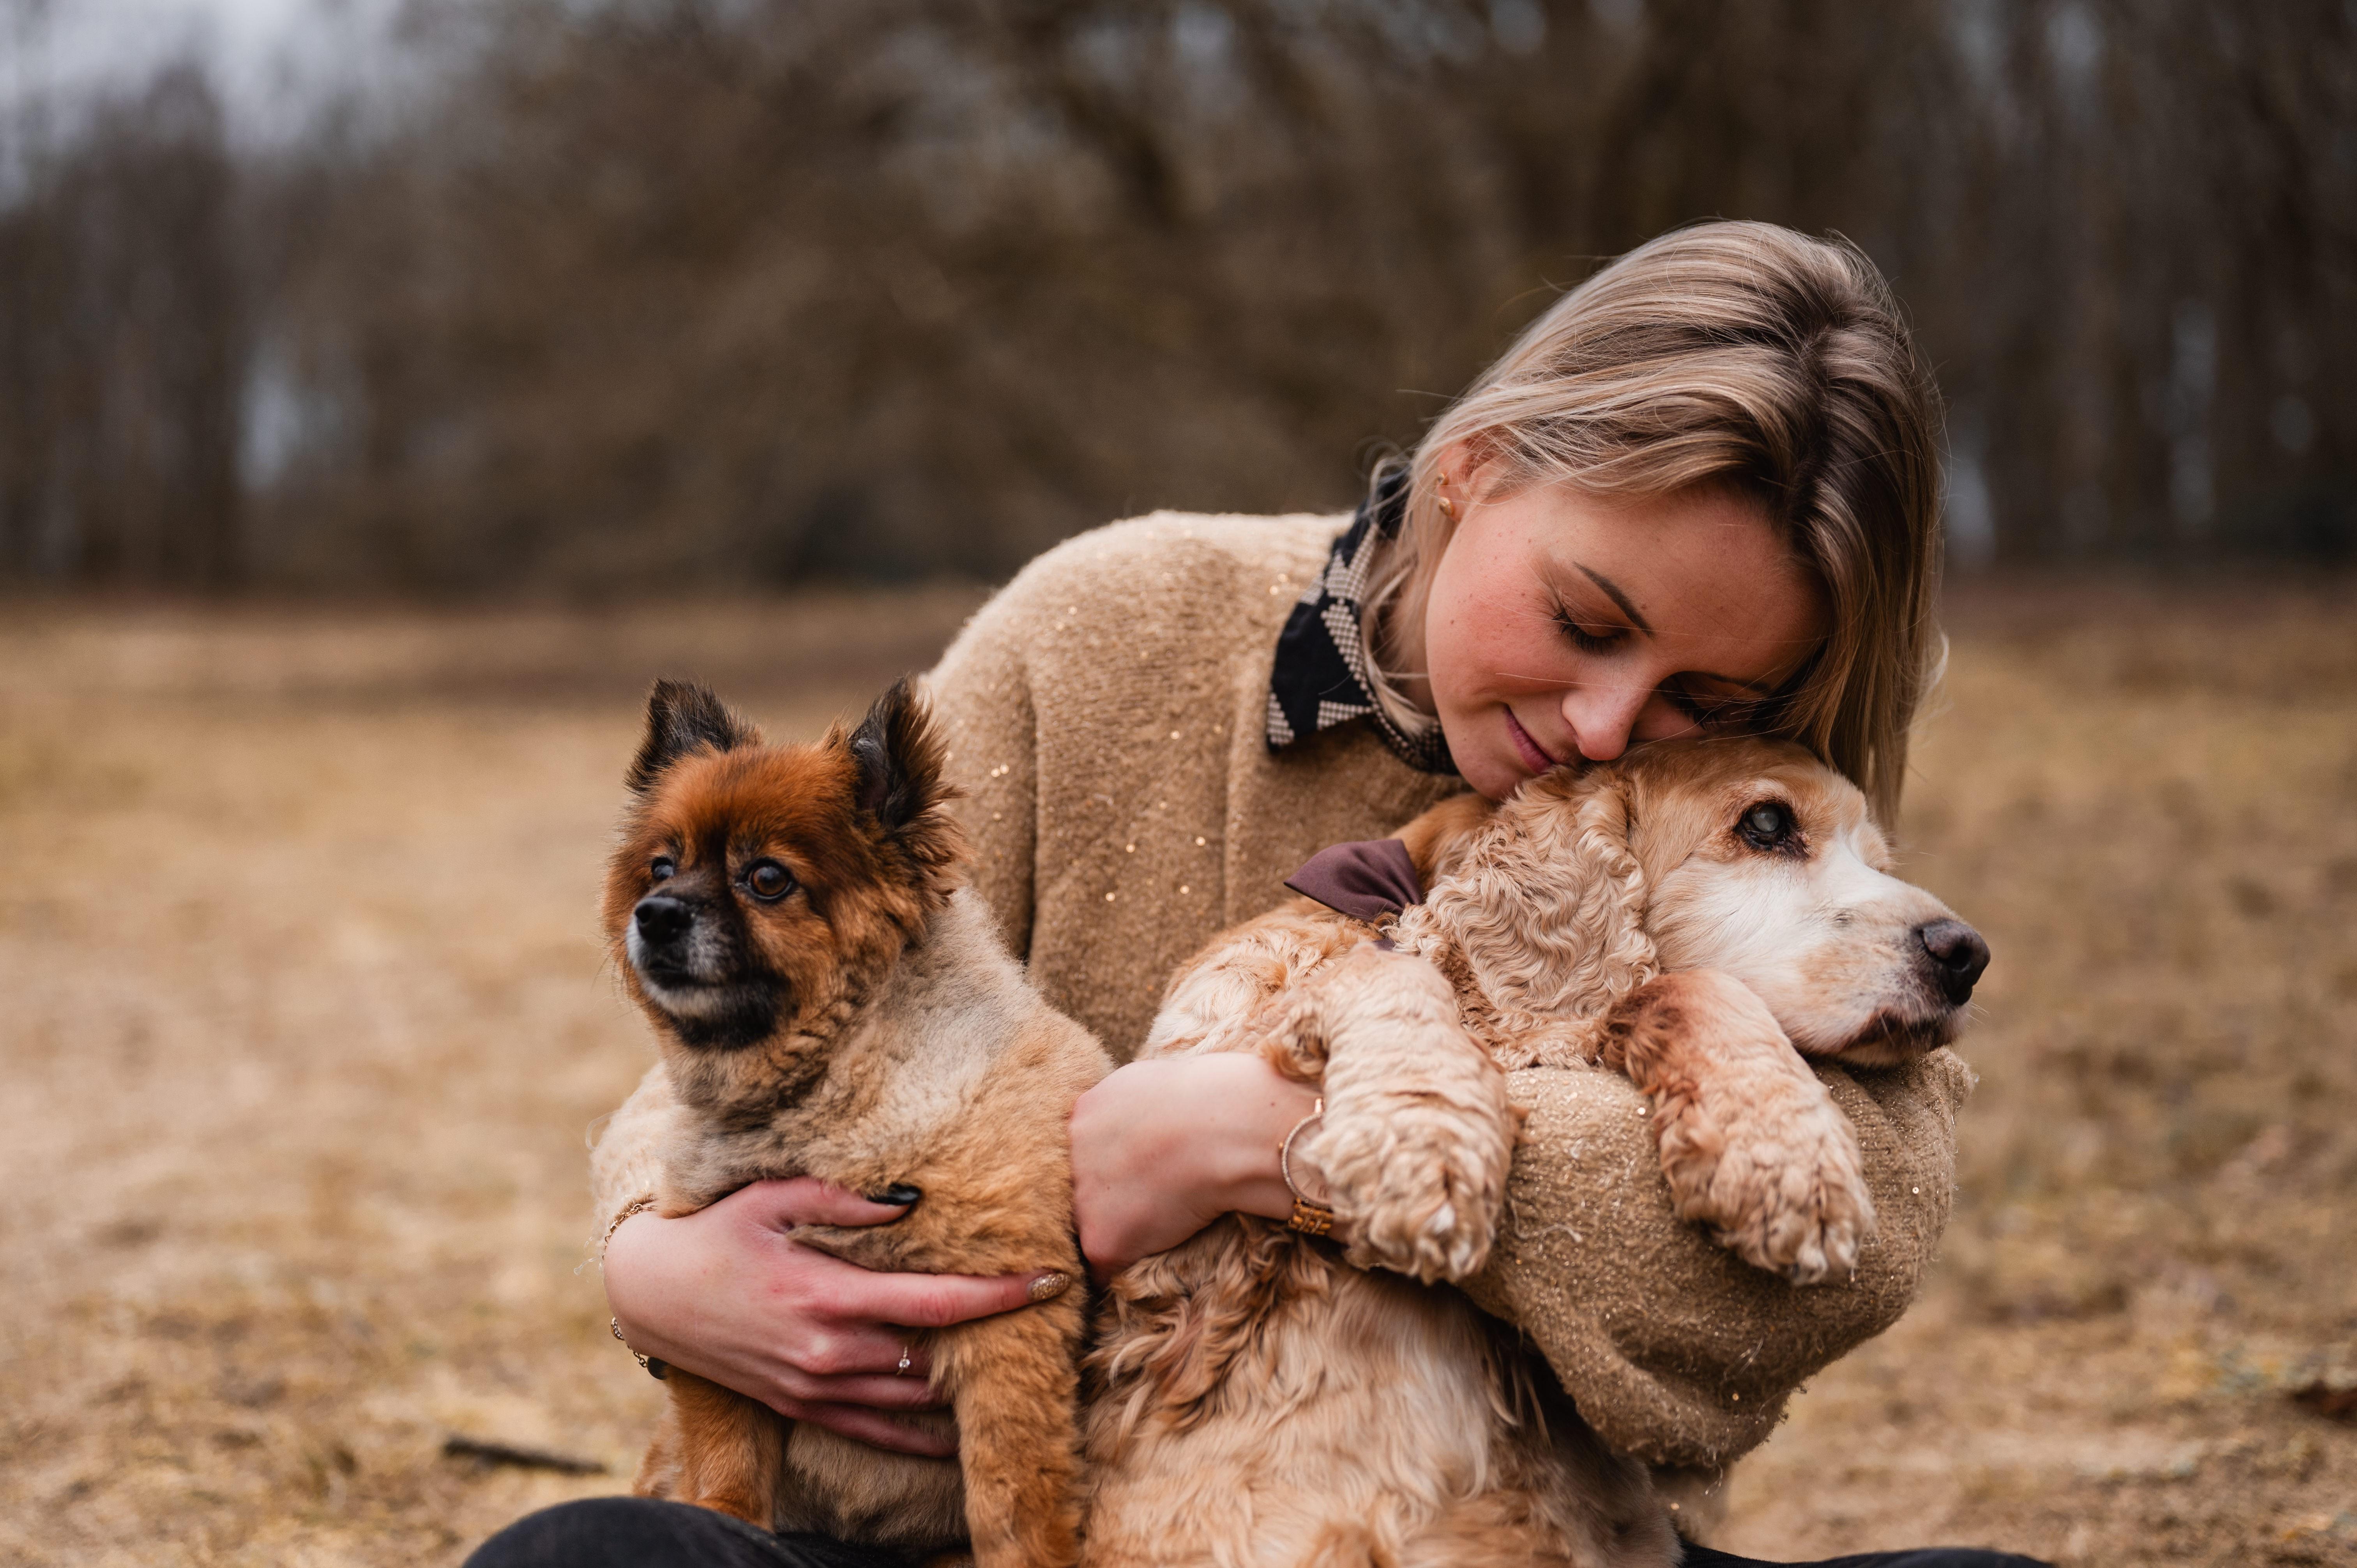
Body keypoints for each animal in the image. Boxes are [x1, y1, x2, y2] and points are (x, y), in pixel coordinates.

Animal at [603, 679, 1108, 1565]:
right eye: (661, 866)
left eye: (767, 878)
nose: (656, 913)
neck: (823, 1093)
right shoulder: (719, 1332)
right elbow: (728, 1464)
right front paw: (723, 1520)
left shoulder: (1008, 1317)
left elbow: (1011, 1492)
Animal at [1084, 735, 1989, 1565]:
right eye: (1766, 823)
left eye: (1877, 859)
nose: (1966, 953)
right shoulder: (1213, 1047)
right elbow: (1390, 972)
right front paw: (1424, 1147)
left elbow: (1677, 986)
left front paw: (1782, 1155)